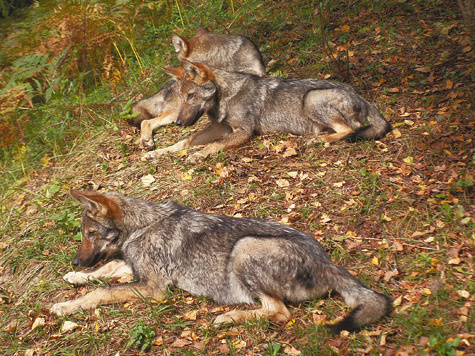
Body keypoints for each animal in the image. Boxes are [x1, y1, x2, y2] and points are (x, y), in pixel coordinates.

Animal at [50, 191, 392, 332]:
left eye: (91, 233)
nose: (75, 262)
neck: (142, 226)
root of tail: (326, 260)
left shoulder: (152, 289)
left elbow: (100, 292)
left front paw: (67, 305)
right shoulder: (135, 271)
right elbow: (107, 269)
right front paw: (73, 280)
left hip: (244, 248)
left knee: (278, 312)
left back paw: (228, 317)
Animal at [142, 60, 394, 165]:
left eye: (191, 96)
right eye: (183, 97)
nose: (178, 123)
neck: (225, 97)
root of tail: (361, 96)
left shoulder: (244, 132)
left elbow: (212, 145)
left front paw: (199, 155)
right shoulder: (219, 127)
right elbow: (183, 143)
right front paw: (156, 152)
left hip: (311, 98)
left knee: (348, 130)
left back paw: (317, 140)